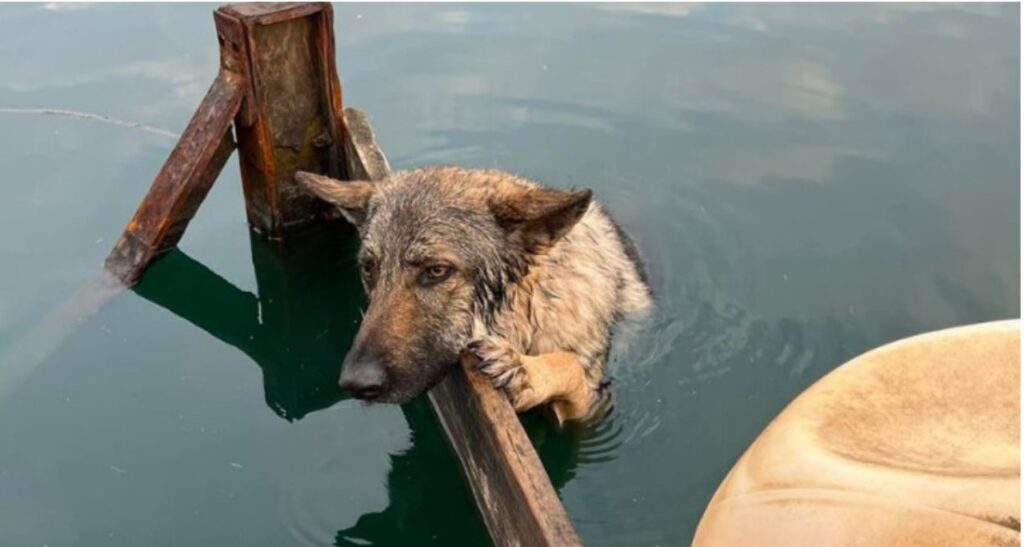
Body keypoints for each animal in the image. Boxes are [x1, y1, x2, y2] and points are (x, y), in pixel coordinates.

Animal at [296, 166, 651, 424]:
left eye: (437, 271)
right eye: (369, 268)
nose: (355, 384)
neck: (530, 307)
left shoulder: (592, 410)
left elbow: (570, 366)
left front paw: (525, 372)